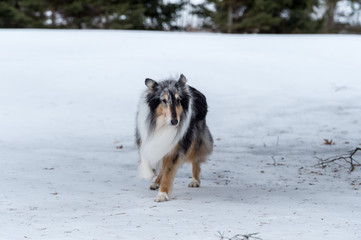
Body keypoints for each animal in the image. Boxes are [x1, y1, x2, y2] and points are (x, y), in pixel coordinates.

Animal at [136, 74, 214, 202]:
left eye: (178, 100)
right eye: (163, 100)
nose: (174, 122)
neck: (162, 124)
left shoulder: (175, 147)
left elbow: (168, 170)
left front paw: (162, 194)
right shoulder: (145, 138)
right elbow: (146, 159)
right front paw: (148, 174)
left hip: (194, 140)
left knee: (196, 159)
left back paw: (195, 180)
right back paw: (156, 182)